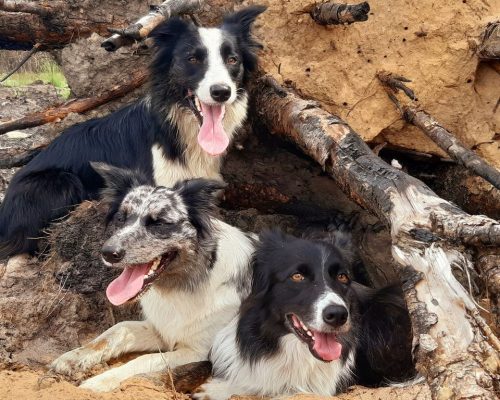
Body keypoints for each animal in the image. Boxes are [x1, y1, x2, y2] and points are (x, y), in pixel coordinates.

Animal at [50, 164, 256, 392]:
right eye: (121, 218)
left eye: (160, 223)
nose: (108, 253)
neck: (187, 281)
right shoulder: (161, 329)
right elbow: (117, 330)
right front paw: (74, 357)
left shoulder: (198, 351)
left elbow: (143, 360)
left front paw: (101, 380)